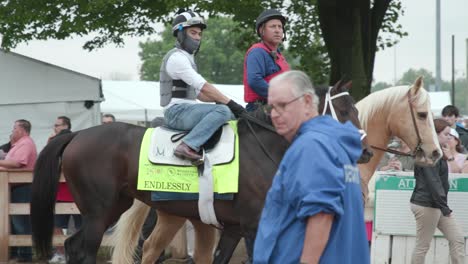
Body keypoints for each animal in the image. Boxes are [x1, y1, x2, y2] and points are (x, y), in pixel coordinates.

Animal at [29, 80, 368, 264]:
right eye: (345, 110)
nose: (364, 151)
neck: (266, 146)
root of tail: (77, 134)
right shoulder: (254, 226)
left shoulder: (234, 229)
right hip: (99, 212)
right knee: (83, 249)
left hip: (115, 207)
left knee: (75, 246)